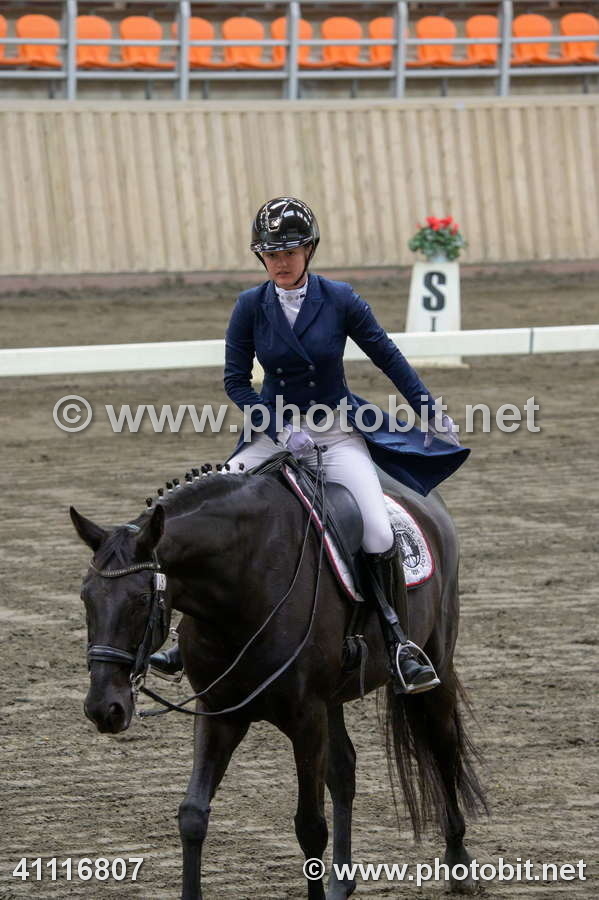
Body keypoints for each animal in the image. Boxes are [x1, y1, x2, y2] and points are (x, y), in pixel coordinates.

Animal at [70, 456, 486, 899]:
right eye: (85, 596)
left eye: (143, 599)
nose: (104, 708)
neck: (242, 585)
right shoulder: (220, 713)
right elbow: (193, 815)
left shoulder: (305, 718)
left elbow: (310, 827)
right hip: (331, 701)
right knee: (344, 769)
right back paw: (341, 881)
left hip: (434, 663)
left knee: (443, 746)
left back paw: (459, 863)